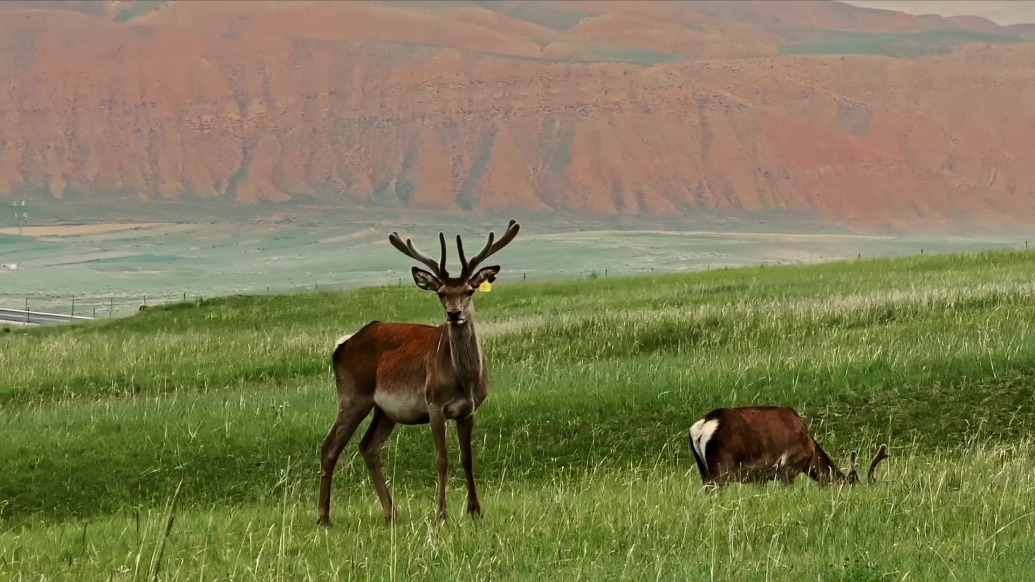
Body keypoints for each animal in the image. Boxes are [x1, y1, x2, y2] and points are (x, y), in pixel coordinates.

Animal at [314, 218, 521, 526]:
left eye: (469, 291)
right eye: (441, 293)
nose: (454, 314)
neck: (464, 380)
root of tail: (342, 344)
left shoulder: (469, 409)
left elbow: (467, 457)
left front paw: (475, 510)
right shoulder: (434, 404)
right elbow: (441, 459)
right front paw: (442, 515)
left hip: (385, 411)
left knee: (368, 447)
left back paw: (391, 512)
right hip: (353, 395)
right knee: (330, 446)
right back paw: (324, 516)